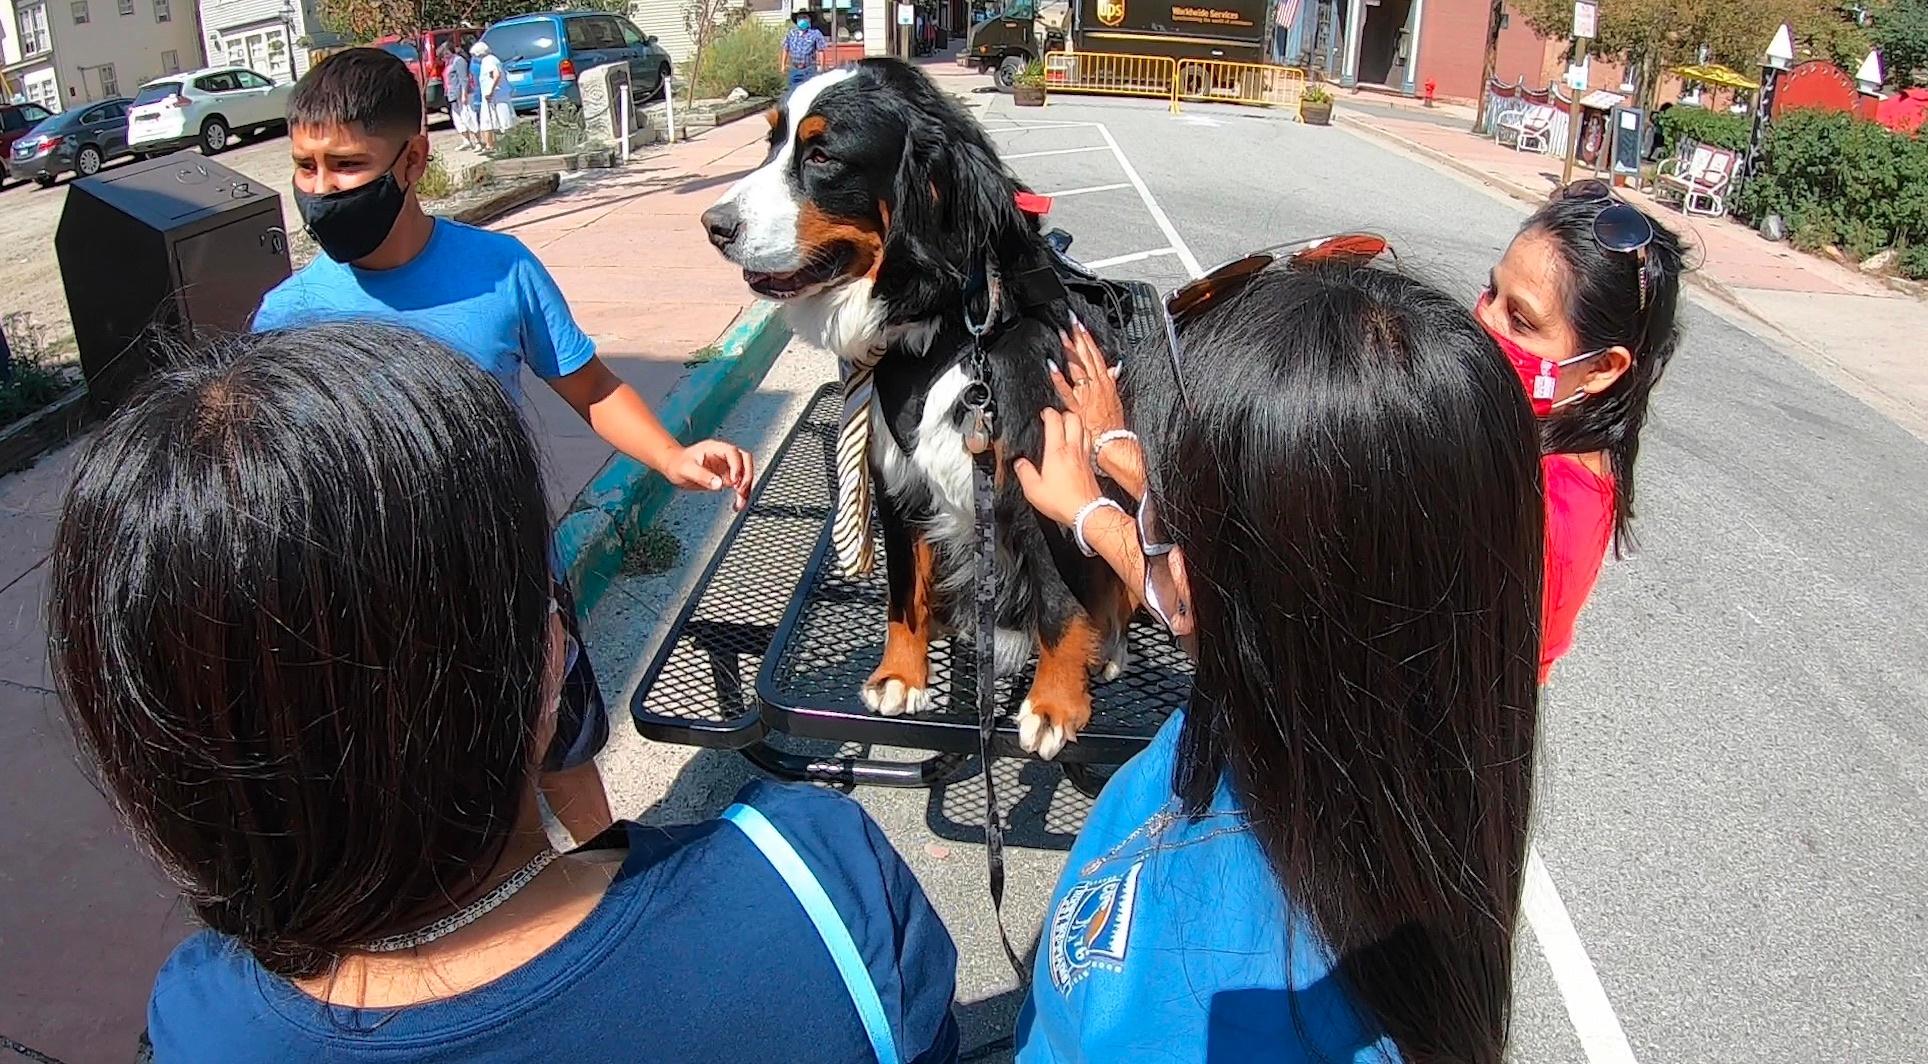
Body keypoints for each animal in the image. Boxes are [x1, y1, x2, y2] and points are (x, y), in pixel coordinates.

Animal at [701, 58, 1133, 759]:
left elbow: (1058, 603)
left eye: (821, 155)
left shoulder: (1044, 479)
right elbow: (904, 589)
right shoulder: (897, 479)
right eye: (771, 142)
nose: (713, 225)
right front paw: (901, 676)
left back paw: (1111, 647)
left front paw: (1056, 704)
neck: (950, 327)